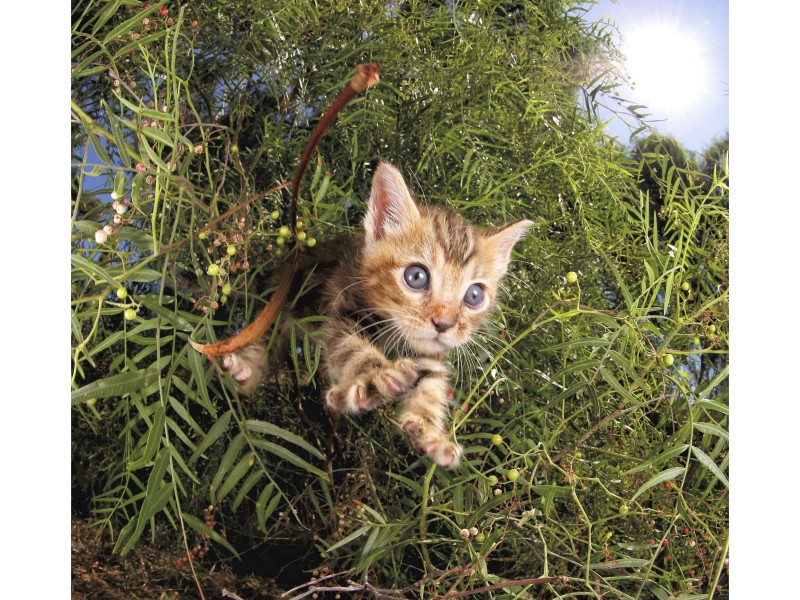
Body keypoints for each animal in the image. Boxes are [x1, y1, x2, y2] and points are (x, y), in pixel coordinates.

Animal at [222, 164, 532, 468]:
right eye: (416, 277)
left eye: (474, 296)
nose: (444, 324)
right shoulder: (343, 310)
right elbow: (353, 349)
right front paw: (378, 377)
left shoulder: (431, 356)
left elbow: (431, 385)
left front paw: (428, 431)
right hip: (279, 303)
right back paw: (243, 370)